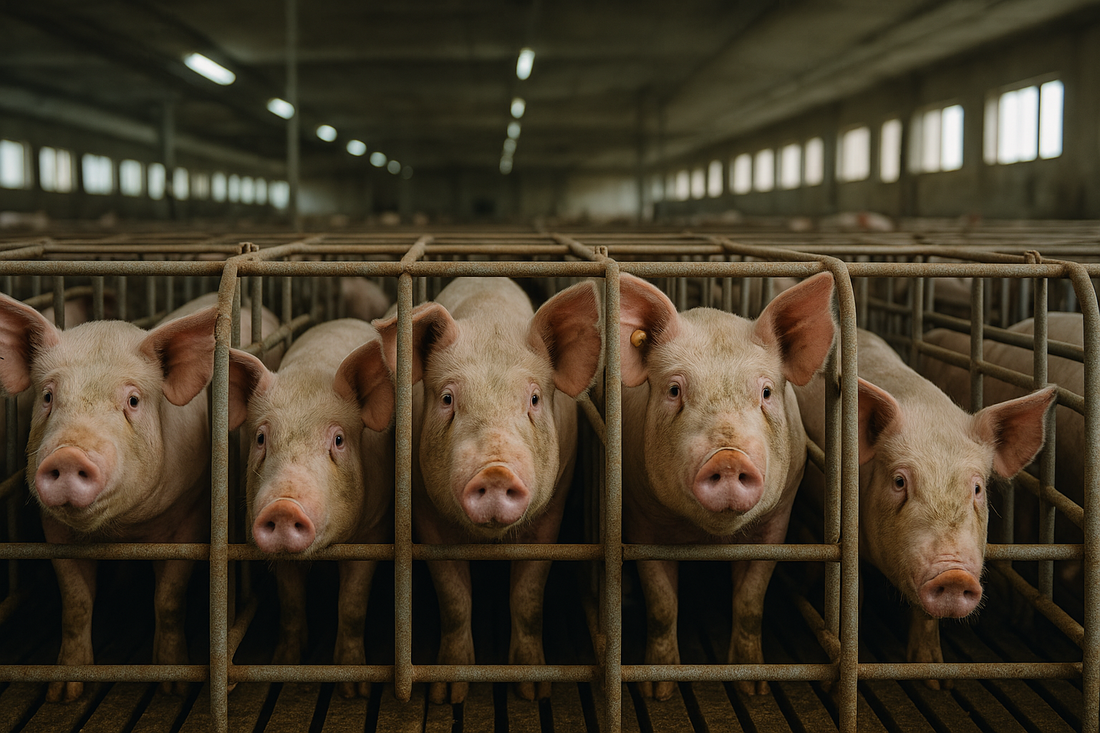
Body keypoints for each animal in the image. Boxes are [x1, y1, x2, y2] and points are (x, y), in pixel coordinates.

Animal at [0, 293, 217, 702]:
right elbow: (76, 602)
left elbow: (169, 599)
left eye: (132, 400)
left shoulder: (192, 513)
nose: (69, 455)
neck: (120, 530)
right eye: (48, 396)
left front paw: (174, 688)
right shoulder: (53, 529)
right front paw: (64, 693)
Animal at [227, 319, 394, 698]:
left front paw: (354, 689)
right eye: (261, 438)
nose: (283, 507)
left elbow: (351, 604)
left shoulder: (374, 533)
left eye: (339, 440)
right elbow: (290, 600)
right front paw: (283, 666)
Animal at [373, 277, 602, 704]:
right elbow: (454, 599)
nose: (495, 470)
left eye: (533, 398)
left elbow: (528, 595)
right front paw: (448, 694)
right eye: (447, 398)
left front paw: (533, 690)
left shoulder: (554, 509)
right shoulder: (424, 511)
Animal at [618, 271, 836, 699]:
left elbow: (751, 601)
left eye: (766, 392)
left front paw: (753, 687)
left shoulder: (777, 520)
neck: (709, 538)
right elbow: (662, 603)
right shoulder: (639, 518)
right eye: (674, 390)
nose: (729, 457)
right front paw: (659, 691)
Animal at [796, 329, 1055, 687]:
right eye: (899, 481)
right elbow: (853, 593)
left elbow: (926, 616)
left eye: (977, 488)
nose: (955, 574)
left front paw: (934, 679)